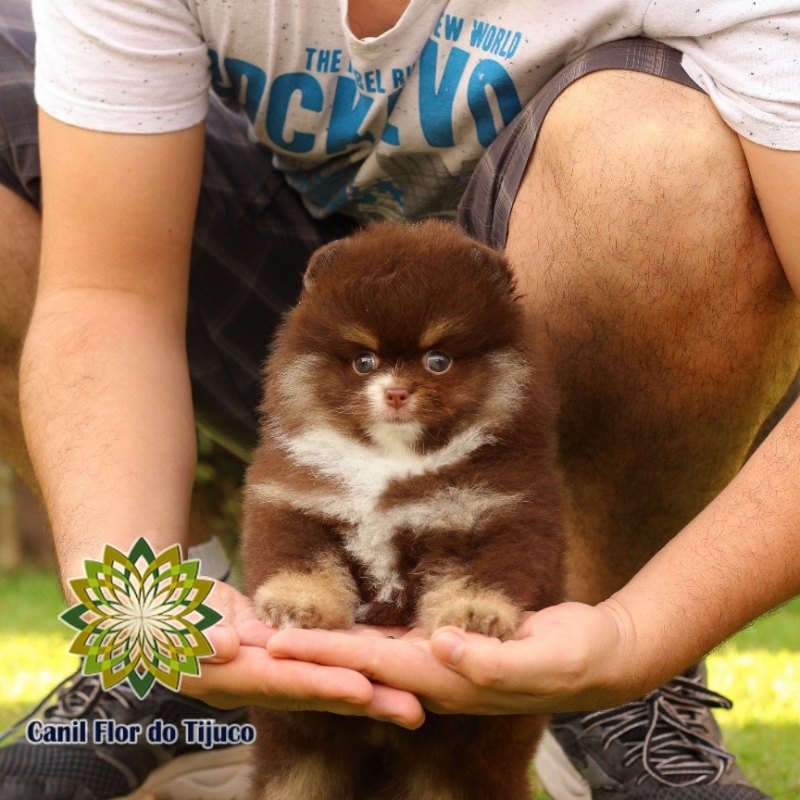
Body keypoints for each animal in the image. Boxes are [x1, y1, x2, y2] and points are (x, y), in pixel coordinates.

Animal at [241, 220, 564, 800]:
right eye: (363, 361)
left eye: (438, 359)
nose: (394, 392)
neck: (391, 462)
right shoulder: (294, 500)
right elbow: (301, 560)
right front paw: (297, 605)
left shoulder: (500, 509)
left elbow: (480, 571)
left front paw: (473, 614)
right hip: (301, 756)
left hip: (460, 769)